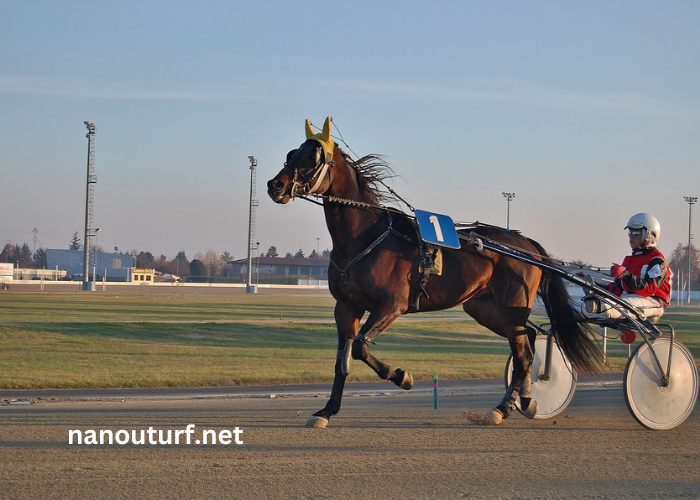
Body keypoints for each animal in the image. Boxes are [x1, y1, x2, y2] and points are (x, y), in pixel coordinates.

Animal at [268, 117, 600, 426]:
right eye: (291, 153)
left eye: (313, 157)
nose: (275, 185)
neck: (364, 237)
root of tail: (525, 242)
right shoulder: (346, 307)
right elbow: (343, 359)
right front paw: (326, 411)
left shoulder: (392, 305)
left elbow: (360, 346)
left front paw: (402, 376)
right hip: (484, 308)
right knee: (527, 338)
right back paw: (526, 400)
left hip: (512, 305)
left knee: (523, 352)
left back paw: (504, 407)